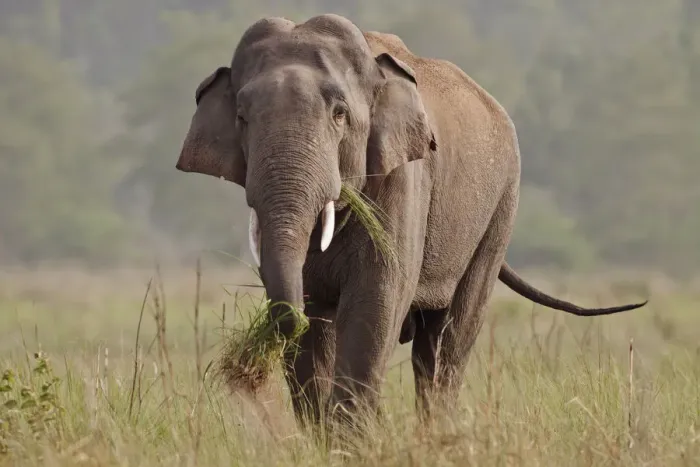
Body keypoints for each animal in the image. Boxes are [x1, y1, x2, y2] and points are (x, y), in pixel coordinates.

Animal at [175, 14, 647, 430]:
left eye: (340, 114)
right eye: (242, 118)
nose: (279, 326)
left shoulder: (404, 180)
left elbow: (377, 298)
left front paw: (351, 440)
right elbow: (314, 317)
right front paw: (322, 436)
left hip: (501, 209)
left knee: (447, 342)